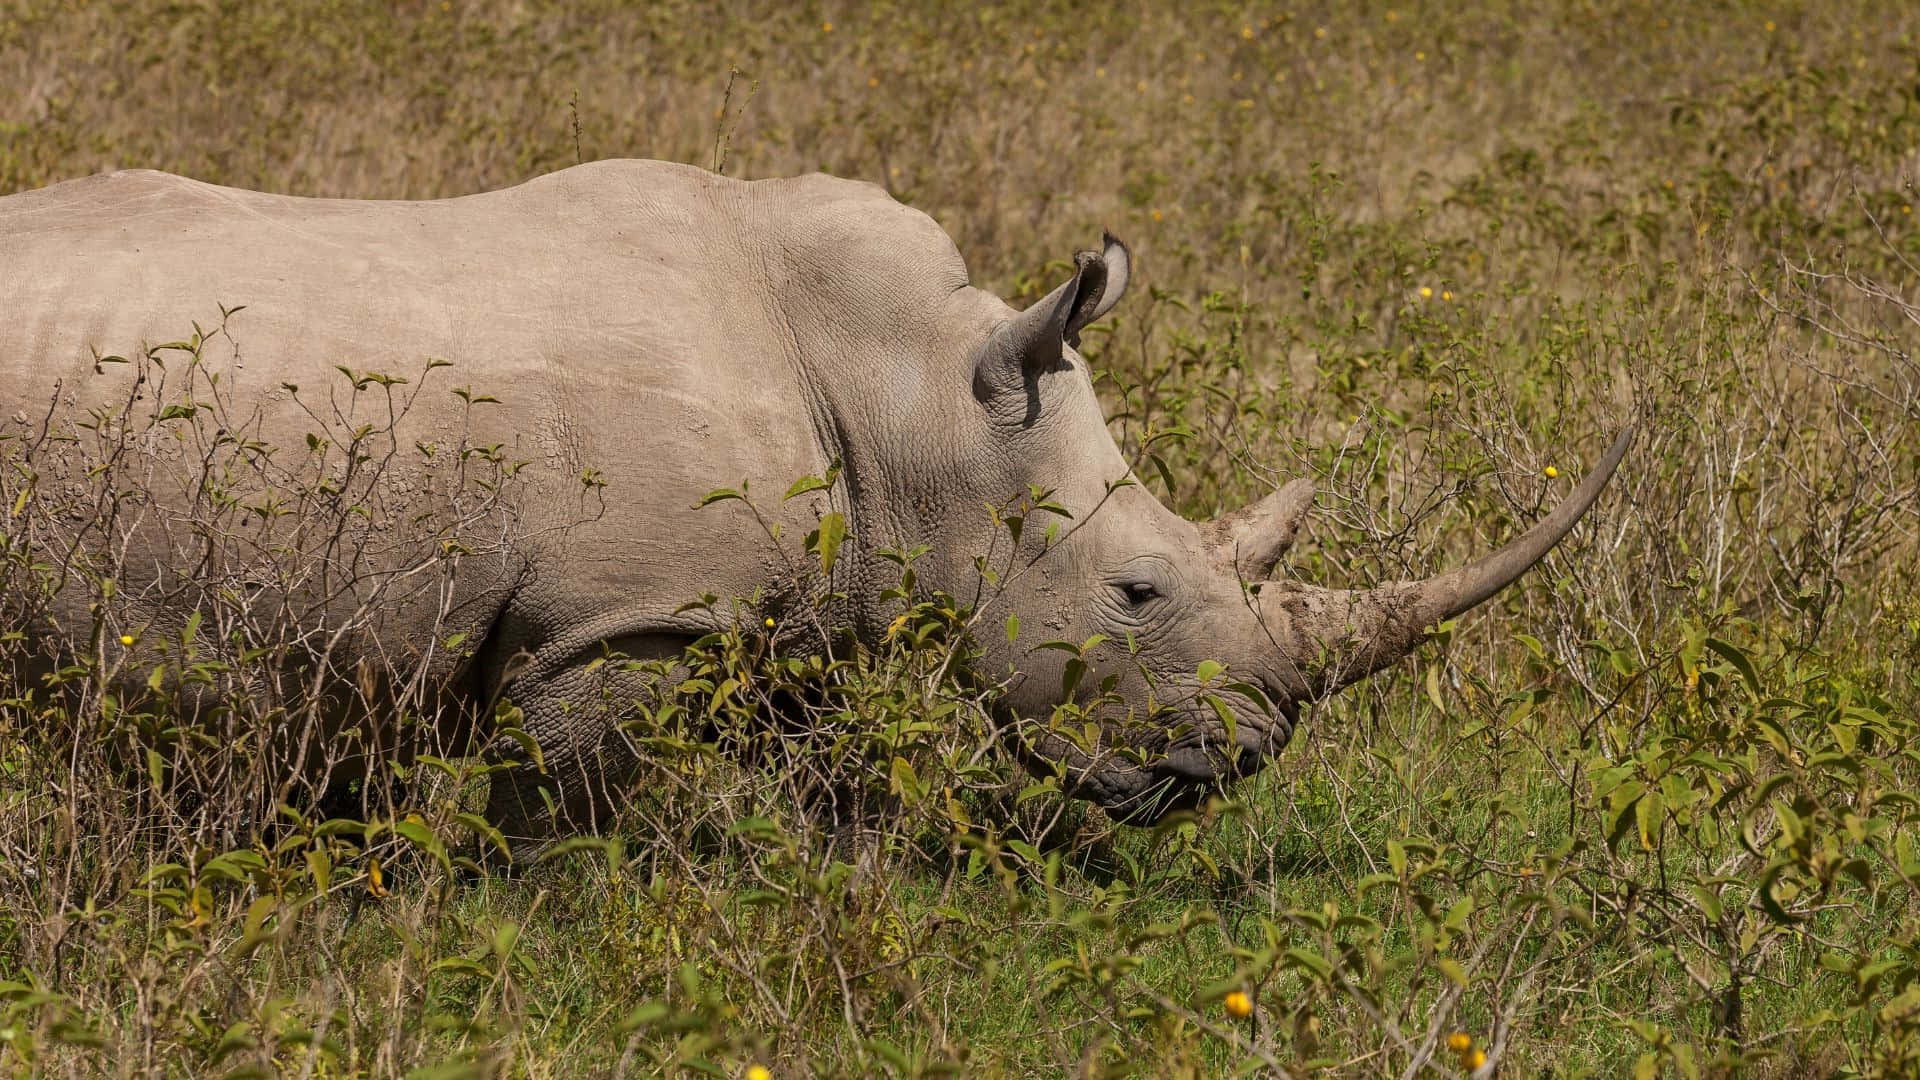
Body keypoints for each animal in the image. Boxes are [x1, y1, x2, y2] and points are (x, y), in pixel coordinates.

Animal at [0, 160, 1629, 850]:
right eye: (1138, 592)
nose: (1226, 768)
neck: (913, 397)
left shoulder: (807, 605)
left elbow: (833, 784)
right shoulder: (625, 618)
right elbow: (563, 817)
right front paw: (542, 941)